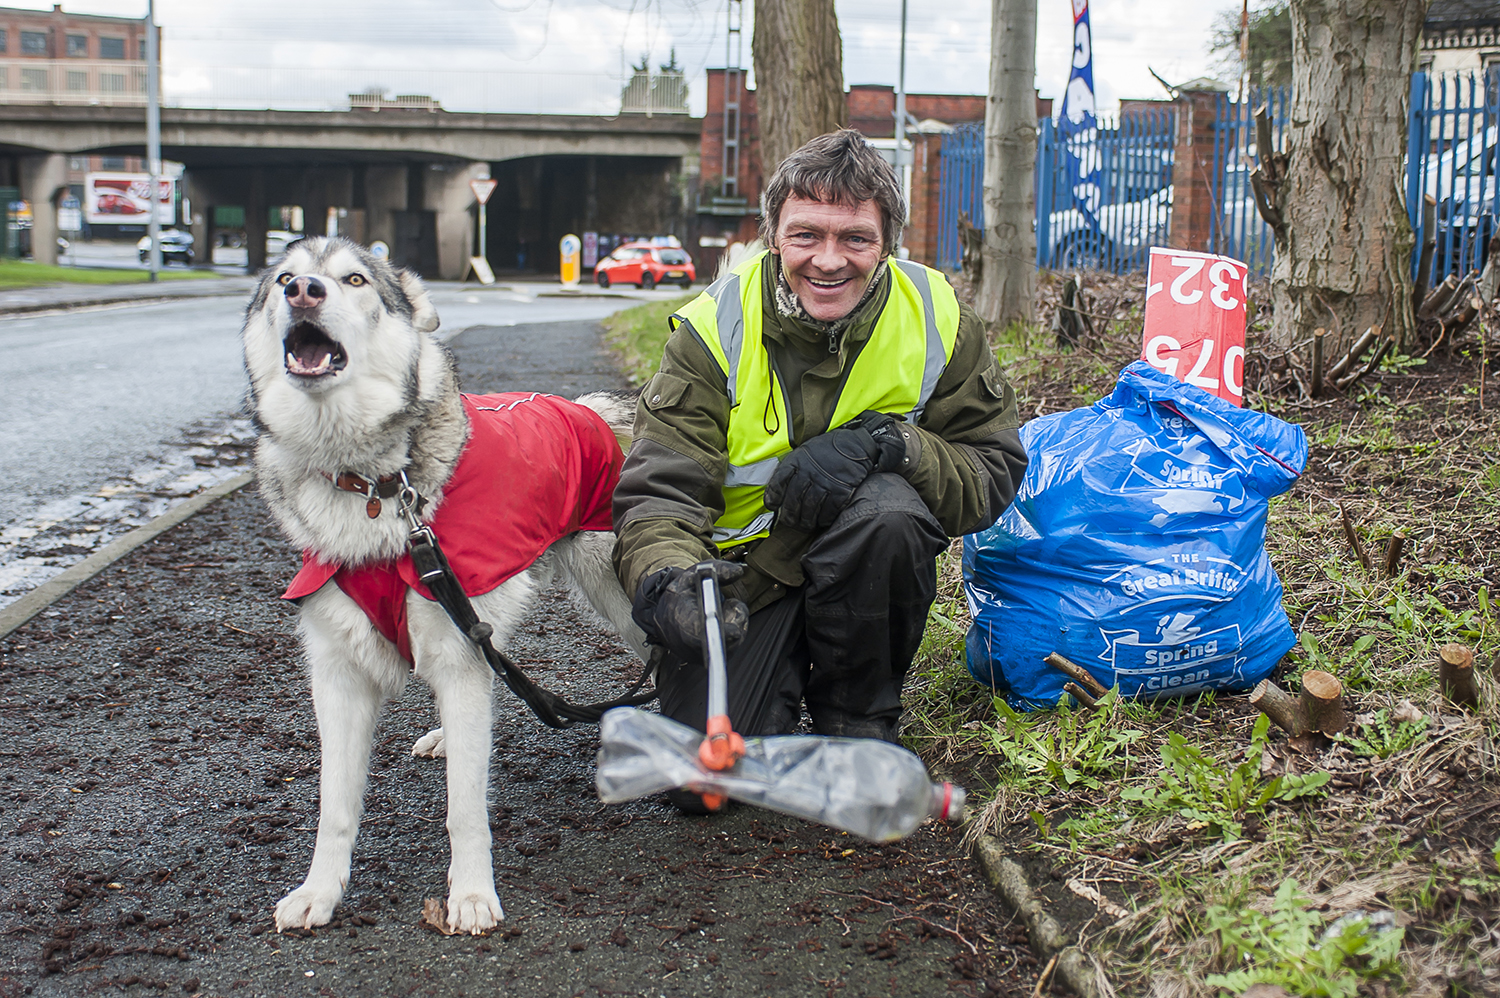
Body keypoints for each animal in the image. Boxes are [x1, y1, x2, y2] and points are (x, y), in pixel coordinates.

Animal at [241, 240, 645, 936]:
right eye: (285, 277)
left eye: (354, 278)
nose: (304, 292)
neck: (370, 488)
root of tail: (594, 407)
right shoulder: (340, 674)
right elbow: (334, 806)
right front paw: (320, 891)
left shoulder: (458, 657)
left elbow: (465, 808)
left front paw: (473, 893)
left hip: (615, 593)